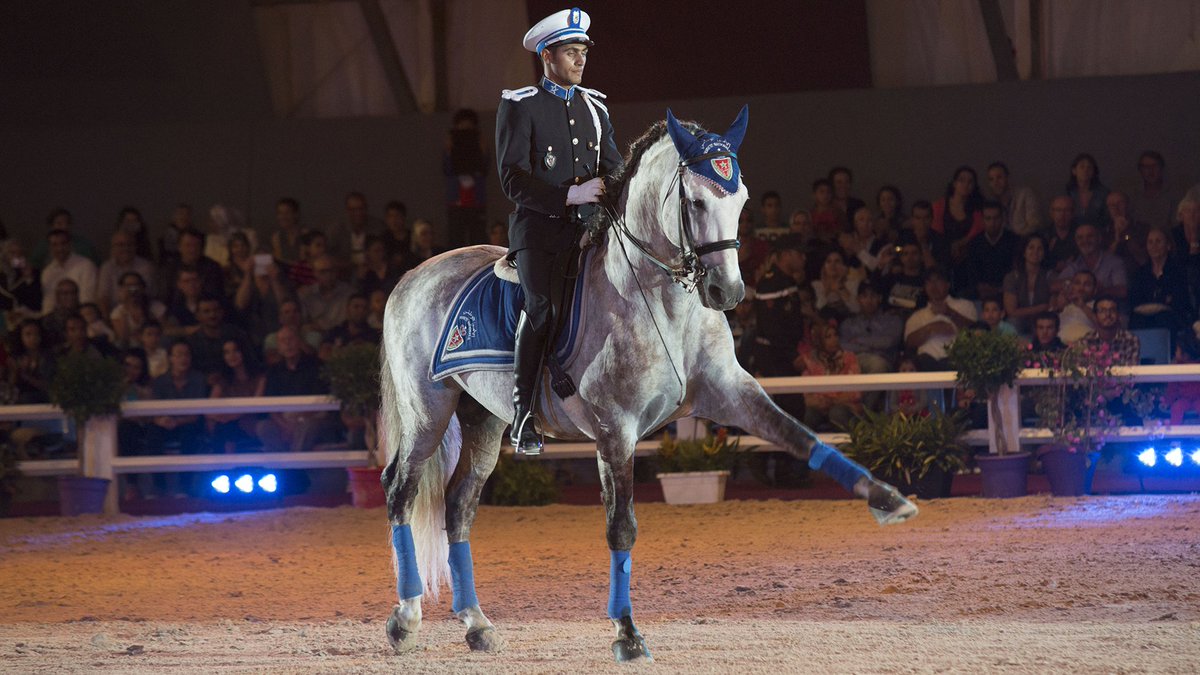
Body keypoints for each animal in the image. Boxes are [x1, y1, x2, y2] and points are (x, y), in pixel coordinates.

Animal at [378, 106, 918, 663]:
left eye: (743, 199)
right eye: (696, 201)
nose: (728, 292)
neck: (657, 298)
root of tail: (413, 276)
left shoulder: (730, 391)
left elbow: (800, 436)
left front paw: (886, 498)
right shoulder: (615, 431)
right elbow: (622, 527)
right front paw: (627, 633)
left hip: (482, 419)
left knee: (459, 506)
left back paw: (477, 624)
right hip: (428, 413)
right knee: (401, 491)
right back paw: (405, 620)